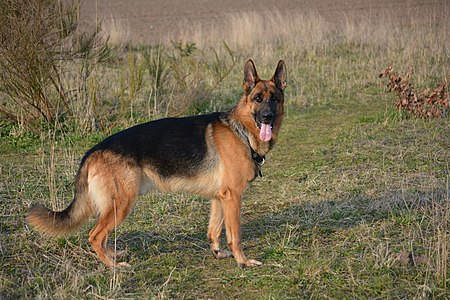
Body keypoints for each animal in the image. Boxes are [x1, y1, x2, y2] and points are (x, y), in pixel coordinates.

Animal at [28, 58, 286, 268]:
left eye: (274, 99)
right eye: (257, 99)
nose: (267, 117)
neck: (241, 131)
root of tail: (93, 151)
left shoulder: (220, 197)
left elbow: (214, 229)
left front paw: (217, 252)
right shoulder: (233, 197)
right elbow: (235, 235)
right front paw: (243, 261)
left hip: (115, 206)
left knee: (102, 236)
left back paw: (113, 256)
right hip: (122, 204)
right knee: (94, 235)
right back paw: (113, 267)